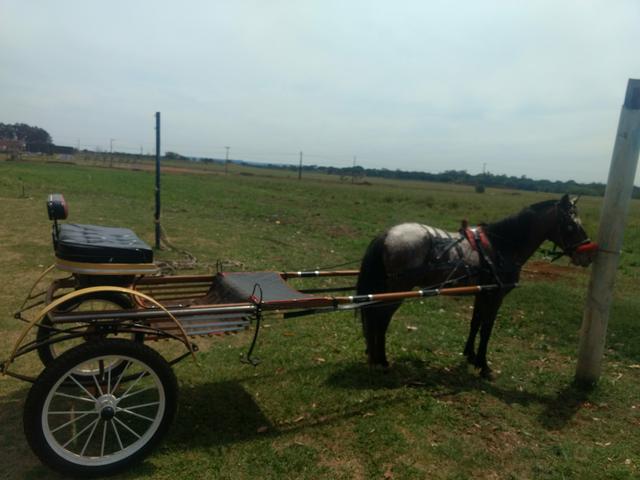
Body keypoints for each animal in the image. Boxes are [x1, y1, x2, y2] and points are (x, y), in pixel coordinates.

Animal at [356, 194, 593, 379]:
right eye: (571, 226)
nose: (587, 256)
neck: (501, 246)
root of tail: (387, 234)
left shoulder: (483, 293)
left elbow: (475, 323)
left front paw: (470, 355)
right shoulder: (496, 295)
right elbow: (487, 328)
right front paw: (483, 365)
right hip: (397, 290)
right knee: (381, 319)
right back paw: (382, 360)